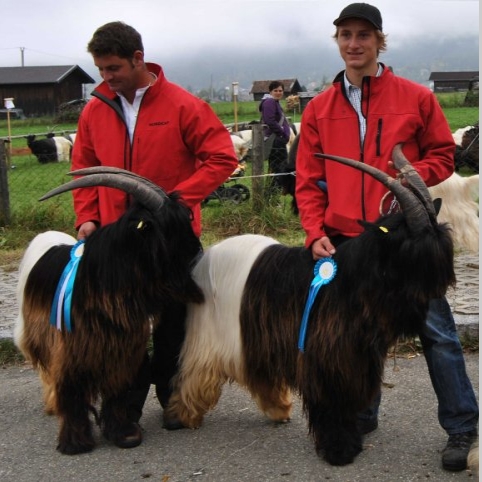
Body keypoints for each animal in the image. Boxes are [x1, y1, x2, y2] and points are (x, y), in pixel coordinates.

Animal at [13, 168, 205, 454]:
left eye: (187, 218)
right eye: (167, 225)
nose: (197, 256)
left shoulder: (119, 349)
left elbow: (117, 391)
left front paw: (123, 433)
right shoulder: (71, 350)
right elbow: (71, 390)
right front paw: (75, 443)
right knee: (47, 371)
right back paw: (53, 404)